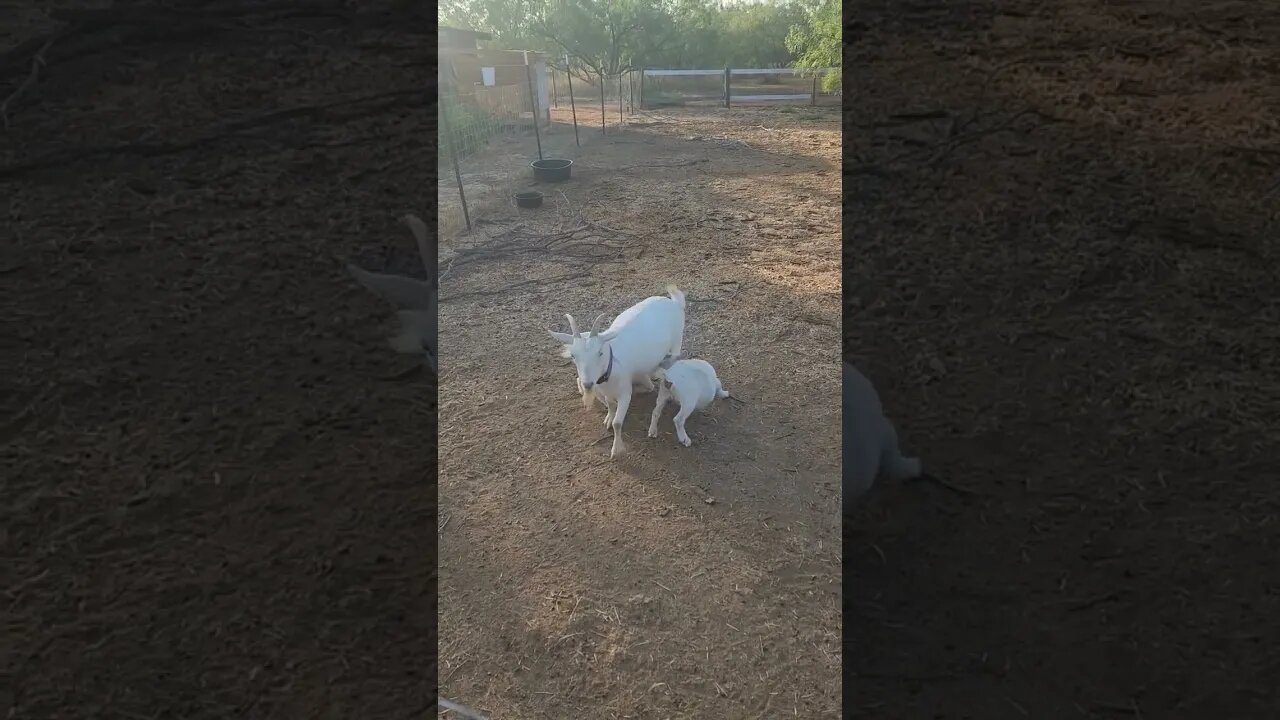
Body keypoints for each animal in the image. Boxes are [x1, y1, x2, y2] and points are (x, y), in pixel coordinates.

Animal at [550, 284, 691, 456]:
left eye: (600, 352)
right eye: (573, 355)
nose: (588, 384)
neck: (612, 365)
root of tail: (674, 302)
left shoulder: (624, 393)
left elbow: (618, 423)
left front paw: (617, 449)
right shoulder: (606, 391)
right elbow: (611, 406)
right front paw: (608, 418)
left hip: (677, 341)